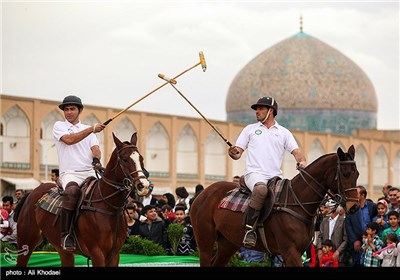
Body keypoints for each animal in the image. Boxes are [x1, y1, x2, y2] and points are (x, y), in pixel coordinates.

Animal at [13, 132, 150, 266]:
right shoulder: (97, 253)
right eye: (125, 159)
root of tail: (32, 192)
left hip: (62, 249)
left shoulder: (115, 254)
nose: (143, 185)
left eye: (141, 159)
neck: (108, 206)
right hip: (26, 241)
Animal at [191, 145, 360, 266]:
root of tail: (203, 194)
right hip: (205, 241)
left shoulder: (296, 252)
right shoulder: (290, 252)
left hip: (228, 242)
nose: (354, 207)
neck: (296, 202)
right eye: (345, 174)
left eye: (357, 174)